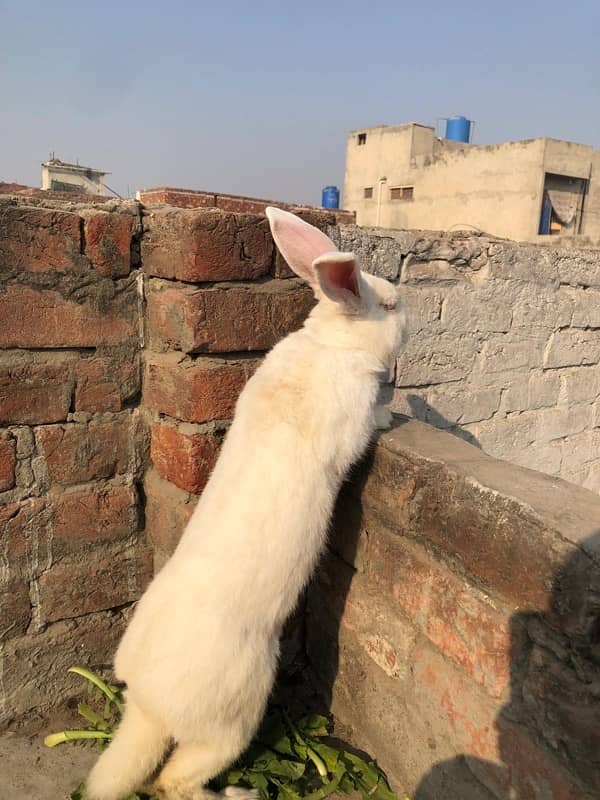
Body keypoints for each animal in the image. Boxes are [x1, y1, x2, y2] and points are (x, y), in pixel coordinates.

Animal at [86, 208, 406, 800]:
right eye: (391, 307)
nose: (408, 314)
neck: (332, 346)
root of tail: (148, 707)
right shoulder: (351, 425)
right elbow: (370, 426)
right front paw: (392, 415)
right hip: (234, 720)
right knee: (173, 782)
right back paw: (239, 792)